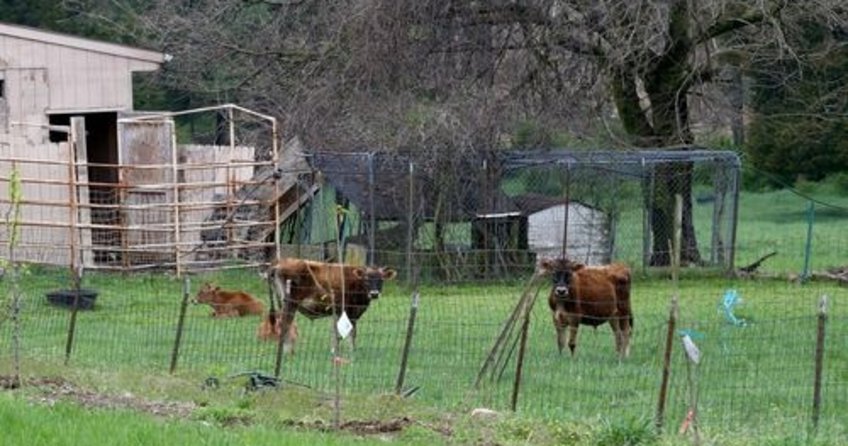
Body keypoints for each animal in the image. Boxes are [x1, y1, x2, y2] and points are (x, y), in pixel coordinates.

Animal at [270, 258, 400, 348]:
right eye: (366, 279)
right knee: (285, 324)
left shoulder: (350, 313)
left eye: (381, 279)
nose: (374, 293)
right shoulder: (345, 310)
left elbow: (346, 332)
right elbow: (344, 332)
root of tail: (280, 263)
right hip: (291, 303)